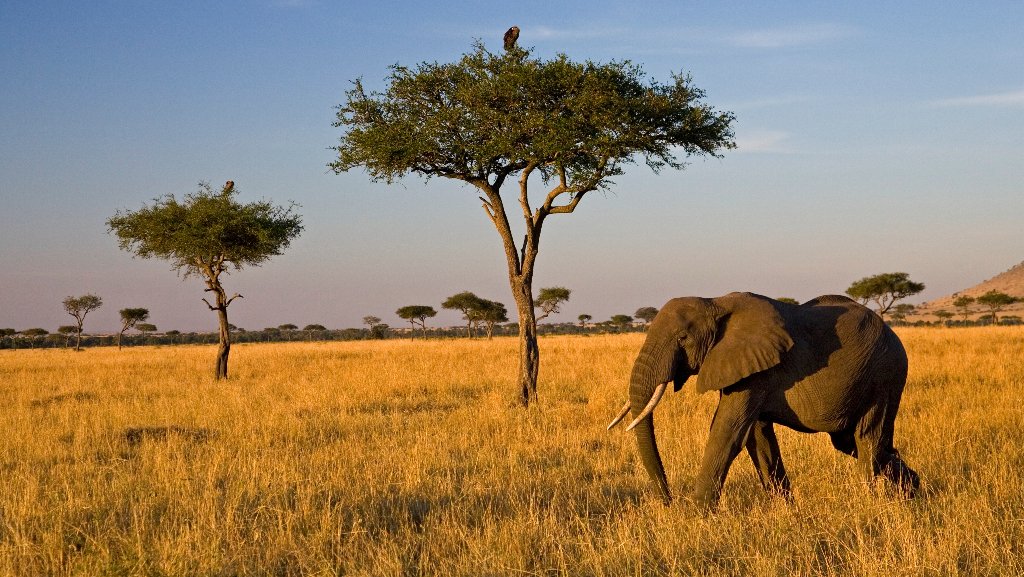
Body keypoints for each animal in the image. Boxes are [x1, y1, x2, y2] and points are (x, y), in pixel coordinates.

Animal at [608, 292, 919, 509]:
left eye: (683, 337)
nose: (669, 502)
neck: (714, 303)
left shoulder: (754, 369)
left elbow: (727, 431)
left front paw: (695, 516)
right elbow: (757, 437)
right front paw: (786, 511)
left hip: (885, 373)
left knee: (867, 438)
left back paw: (872, 502)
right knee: (855, 442)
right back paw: (912, 493)